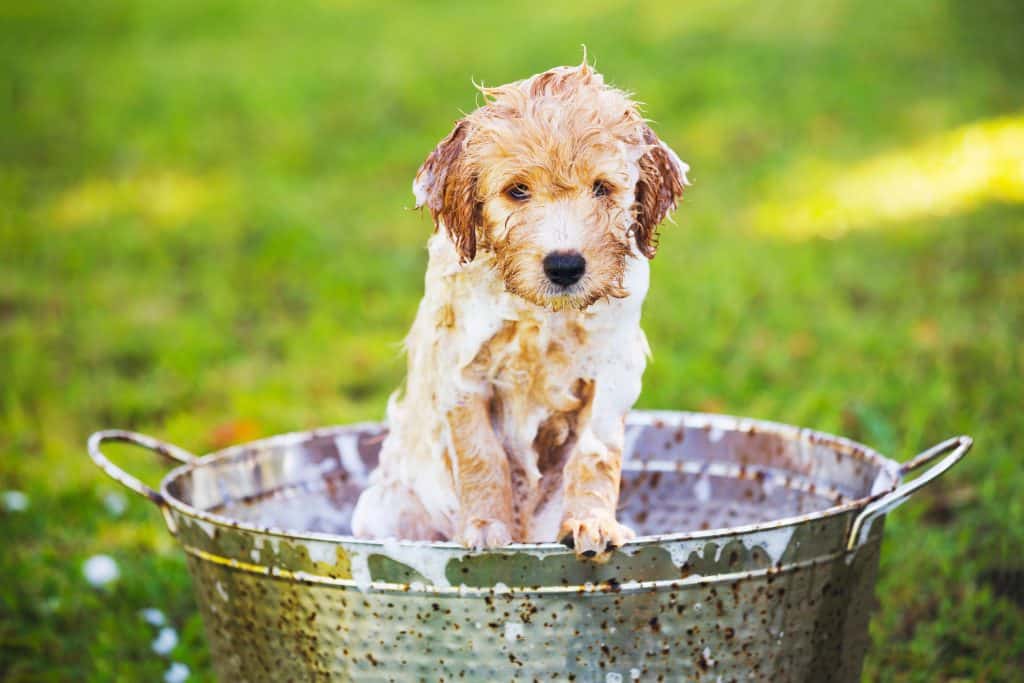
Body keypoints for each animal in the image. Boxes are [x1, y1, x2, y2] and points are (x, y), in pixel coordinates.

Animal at [352, 60, 688, 561]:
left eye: (602, 189)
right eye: (517, 191)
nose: (565, 265)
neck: (540, 315)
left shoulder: (612, 373)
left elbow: (595, 455)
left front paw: (592, 521)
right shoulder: (462, 373)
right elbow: (481, 454)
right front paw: (487, 527)